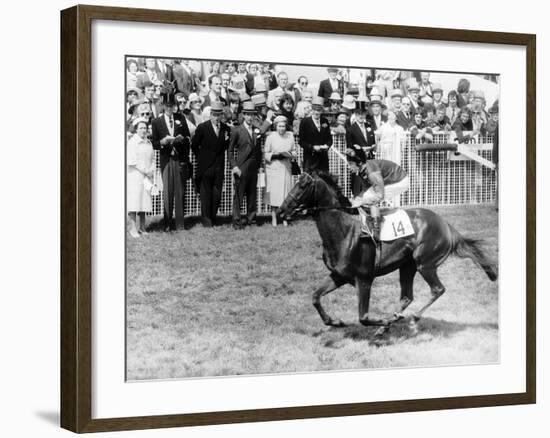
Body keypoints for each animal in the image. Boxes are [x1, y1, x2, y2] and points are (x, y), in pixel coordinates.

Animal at [278, 171, 498, 336]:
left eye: (302, 186)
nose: (281, 211)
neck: (344, 231)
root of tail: (447, 226)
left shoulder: (364, 279)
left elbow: (364, 318)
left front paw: (383, 321)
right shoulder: (339, 275)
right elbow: (315, 297)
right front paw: (335, 321)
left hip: (425, 263)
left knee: (437, 290)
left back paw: (410, 320)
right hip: (407, 266)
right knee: (407, 297)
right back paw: (389, 323)